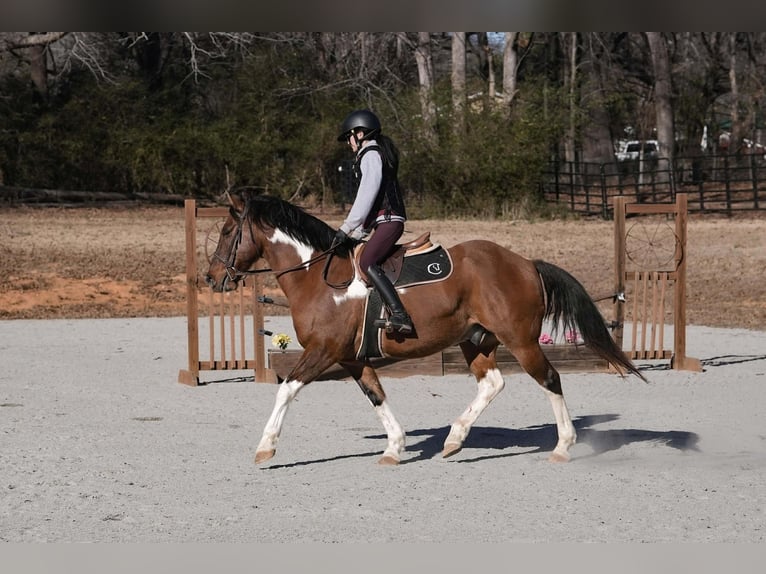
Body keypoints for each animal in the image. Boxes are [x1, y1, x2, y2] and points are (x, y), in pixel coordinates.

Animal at [205, 188, 645, 466]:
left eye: (227, 232)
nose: (211, 278)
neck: (317, 276)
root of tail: (524, 263)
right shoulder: (351, 358)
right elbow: (376, 396)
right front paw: (394, 447)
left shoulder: (323, 352)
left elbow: (286, 390)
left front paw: (265, 447)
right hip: (475, 339)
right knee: (492, 382)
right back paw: (454, 439)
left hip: (520, 340)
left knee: (550, 379)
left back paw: (563, 446)